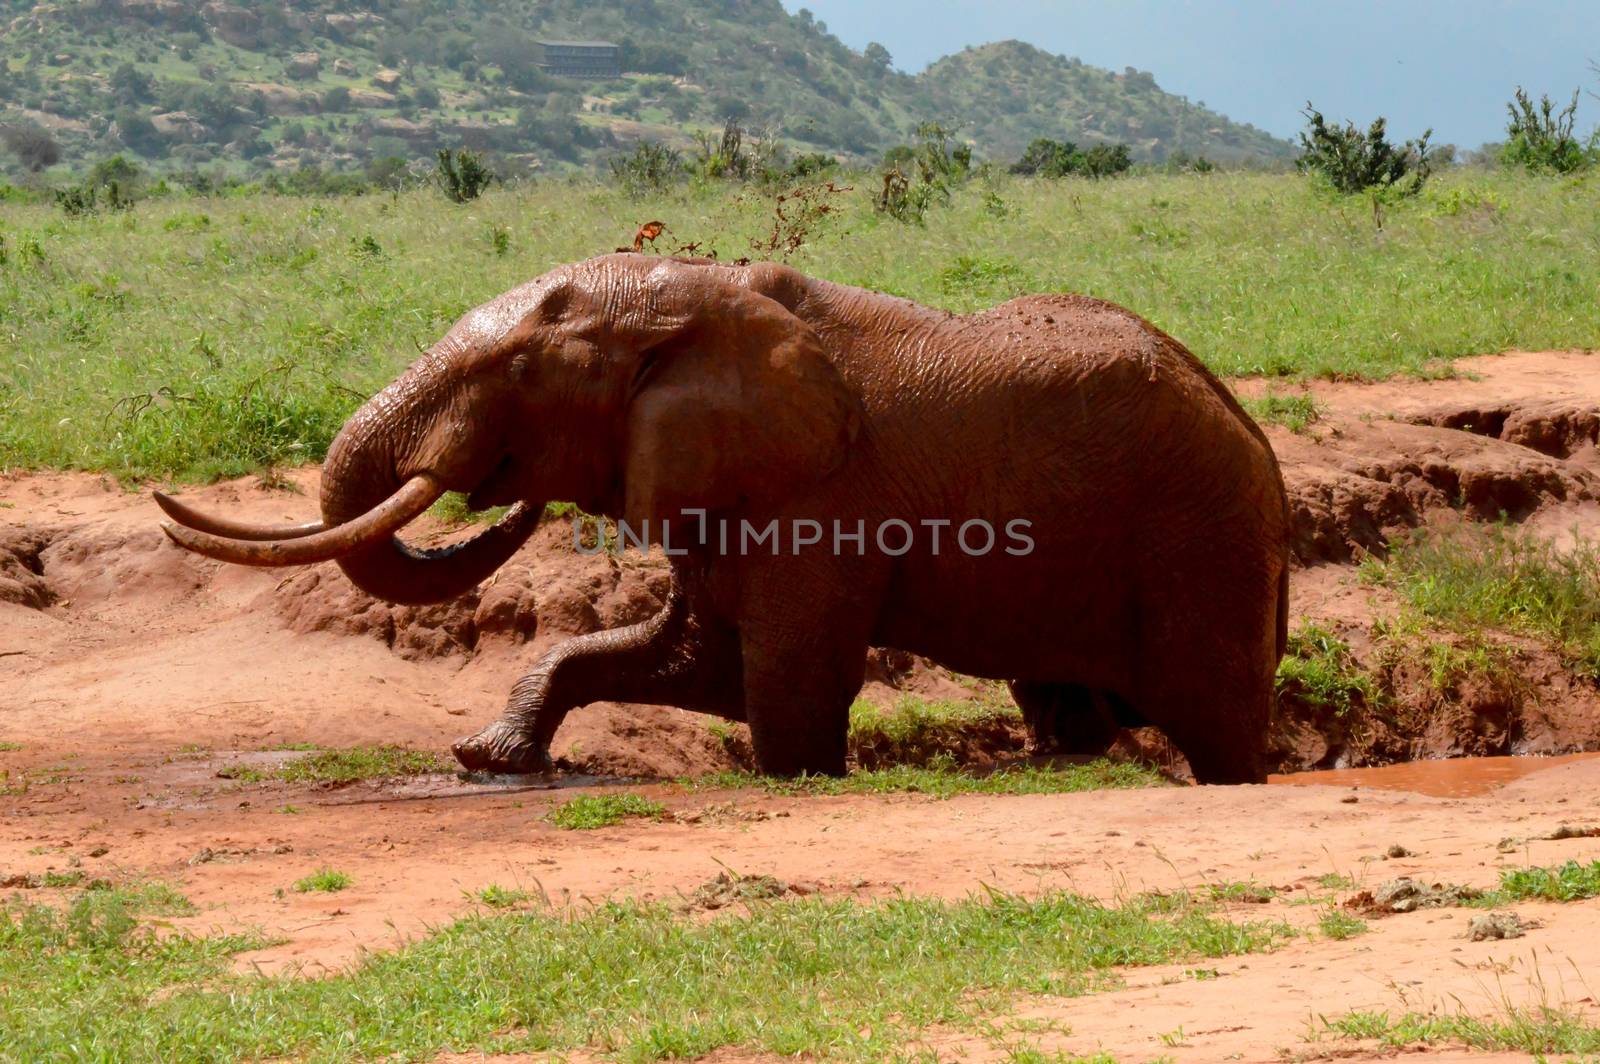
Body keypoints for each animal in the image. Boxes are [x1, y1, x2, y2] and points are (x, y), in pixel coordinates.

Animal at [156, 252, 1292, 784]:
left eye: (518, 372)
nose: (504, 482)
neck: (702, 295)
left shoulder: (822, 500)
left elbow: (785, 694)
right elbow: (696, 662)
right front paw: (489, 758)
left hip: (1205, 545)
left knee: (1219, 726)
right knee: (1067, 702)